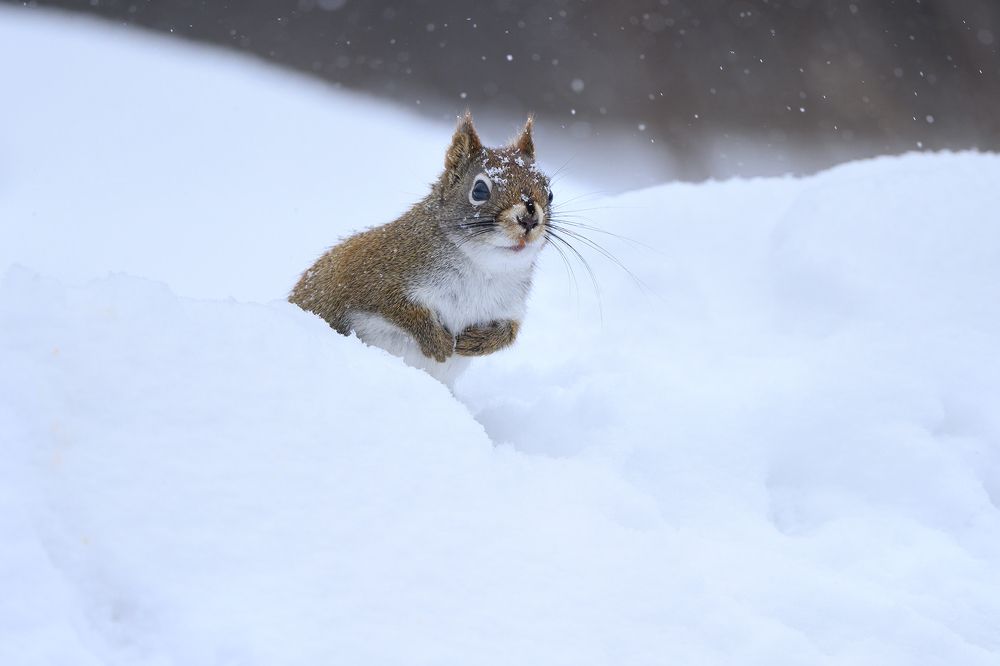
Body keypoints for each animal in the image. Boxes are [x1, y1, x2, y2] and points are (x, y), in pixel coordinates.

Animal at [289, 112, 552, 386]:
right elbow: (398, 308)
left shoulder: (509, 307)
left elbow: (510, 332)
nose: (530, 218)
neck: (484, 268)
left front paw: (476, 342)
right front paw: (438, 342)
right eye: (479, 190)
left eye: (550, 193)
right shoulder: (375, 278)